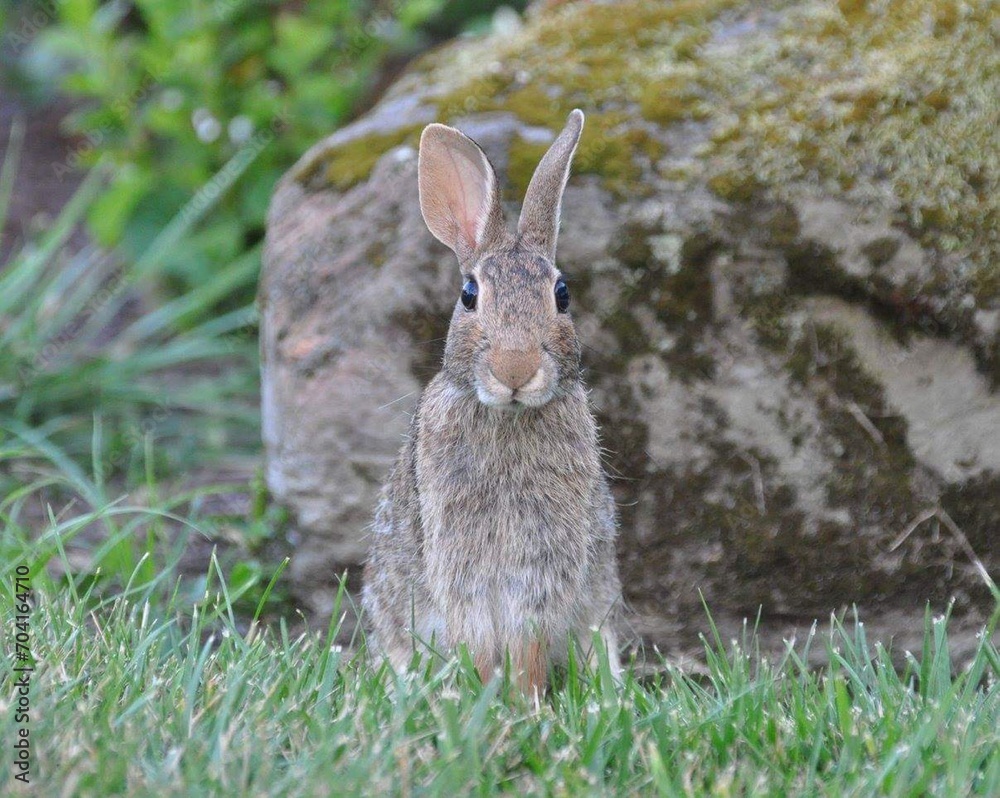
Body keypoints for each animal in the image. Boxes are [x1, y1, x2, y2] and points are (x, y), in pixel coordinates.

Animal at [361, 109, 622, 694]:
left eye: (563, 295)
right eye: (469, 295)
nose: (515, 370)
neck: (508, 416)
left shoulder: (544, 563)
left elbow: (527, 640)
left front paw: (525, 700)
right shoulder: (460, 563)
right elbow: (478, 639)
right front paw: (487, 696)